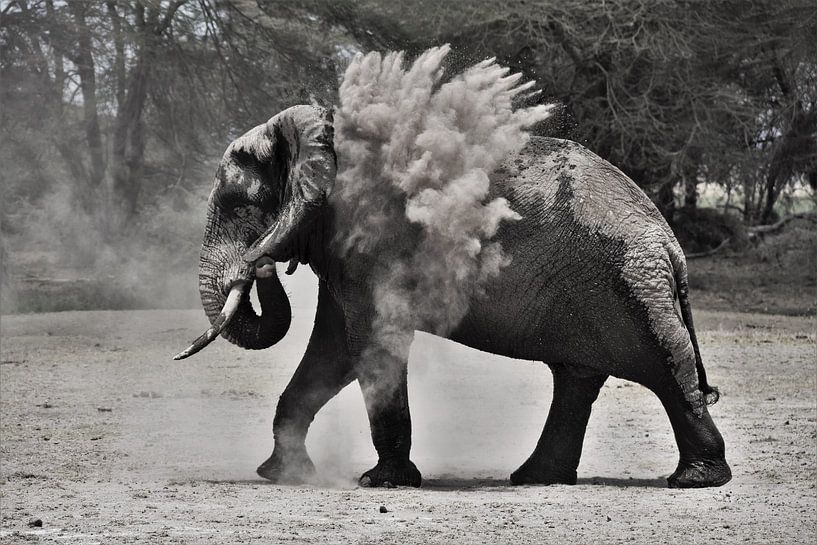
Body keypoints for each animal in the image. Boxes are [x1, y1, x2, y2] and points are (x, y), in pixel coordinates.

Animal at [175, 104, 728, 486]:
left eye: (237, 205)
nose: (261, 259)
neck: (320, 134)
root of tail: (669, 243)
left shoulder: (371, 239)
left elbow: (368, 344)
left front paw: (382, 483)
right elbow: (332, 352)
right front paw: (283, 473)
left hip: (627, 284)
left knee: (662, 368)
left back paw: (696, 480)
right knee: (577, 377)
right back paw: (536, 478)